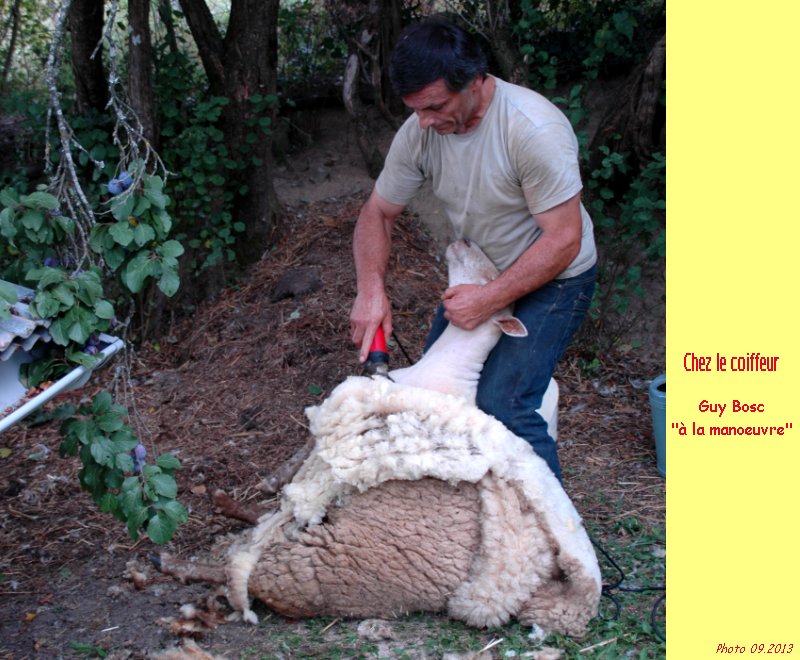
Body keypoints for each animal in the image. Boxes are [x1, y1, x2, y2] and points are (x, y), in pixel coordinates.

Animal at [156, 239, 601, 636]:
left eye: (493, 280)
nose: (464, 239)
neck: (446, 365)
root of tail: (553, 386)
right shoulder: (363, 399)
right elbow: (305, 453)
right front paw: (270, 479)